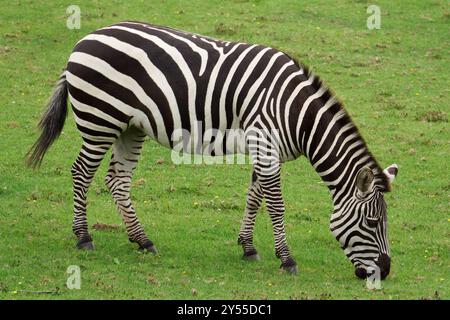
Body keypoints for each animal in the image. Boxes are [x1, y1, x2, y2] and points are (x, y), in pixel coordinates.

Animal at [27, 21, 398, 278]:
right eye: (373, 222)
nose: (385, 271)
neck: (296, 113)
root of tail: (84, 40)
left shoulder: (263, 148)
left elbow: (254, 197)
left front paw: (248, 247)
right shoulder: (266, 145)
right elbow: (276, 205)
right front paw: (287, 258)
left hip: (129, 127)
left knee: (117, 180)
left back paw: (142, 240)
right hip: (99, 120)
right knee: (81, 173)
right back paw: (83, 237)